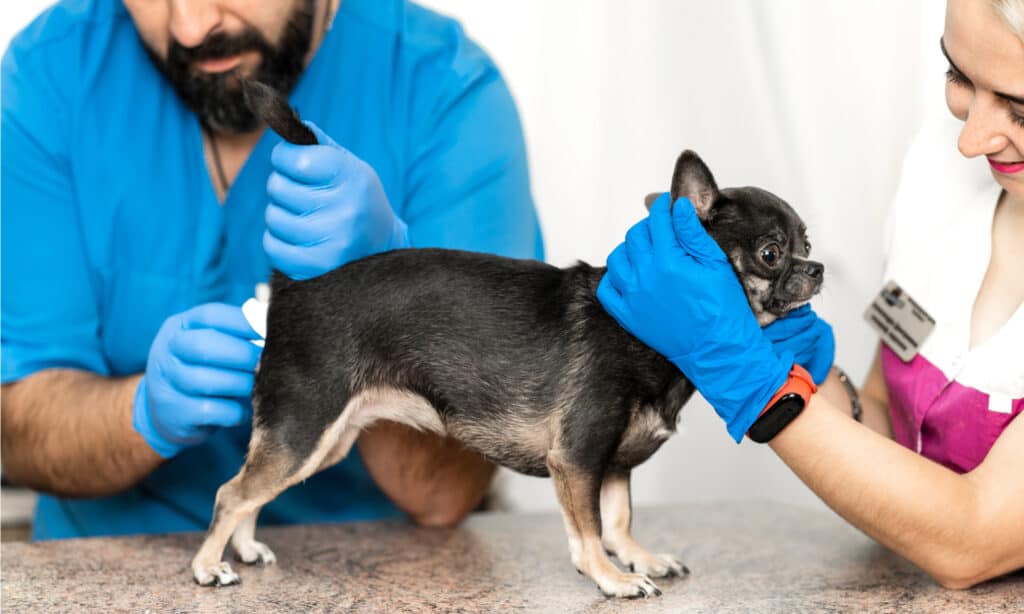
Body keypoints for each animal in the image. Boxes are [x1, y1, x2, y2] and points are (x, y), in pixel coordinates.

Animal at [190, 82, 823, 597]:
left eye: (808, 243)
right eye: (771, 253)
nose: (817, 269)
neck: (645, 331)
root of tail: (293, 285)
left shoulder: (614, 464)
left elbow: (619, 519)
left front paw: (639, 559)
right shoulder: (578, 459)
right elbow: (590, 531)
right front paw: (611, 578)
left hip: (321, 441)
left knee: (252, 491)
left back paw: (244, 548)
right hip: (305, 429)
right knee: (230, 492)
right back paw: (207, 566)